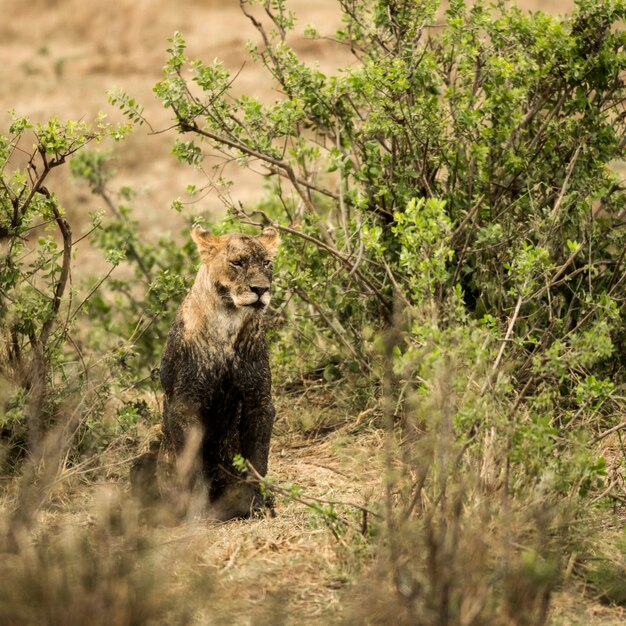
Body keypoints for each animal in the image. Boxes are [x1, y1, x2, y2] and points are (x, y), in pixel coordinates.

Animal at [132, 224, 280, 516]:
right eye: (237, 262)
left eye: (267, 263)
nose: (261, 289)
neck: (228, 324)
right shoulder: (185, 404)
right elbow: (192, 467)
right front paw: (198, 513)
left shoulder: (259, 401)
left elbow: (258, 459)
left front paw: (261, 505)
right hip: (152, 440)